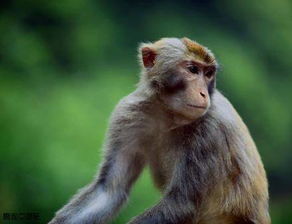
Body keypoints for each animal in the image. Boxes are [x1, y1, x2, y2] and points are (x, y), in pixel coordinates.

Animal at [48, 37, 270, 223]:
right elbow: (109, 190)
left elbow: (181, 204)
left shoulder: (212, 130)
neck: (169, 114)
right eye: (192, 69)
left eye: (208, 73)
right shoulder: (127, 115)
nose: (203, 93)